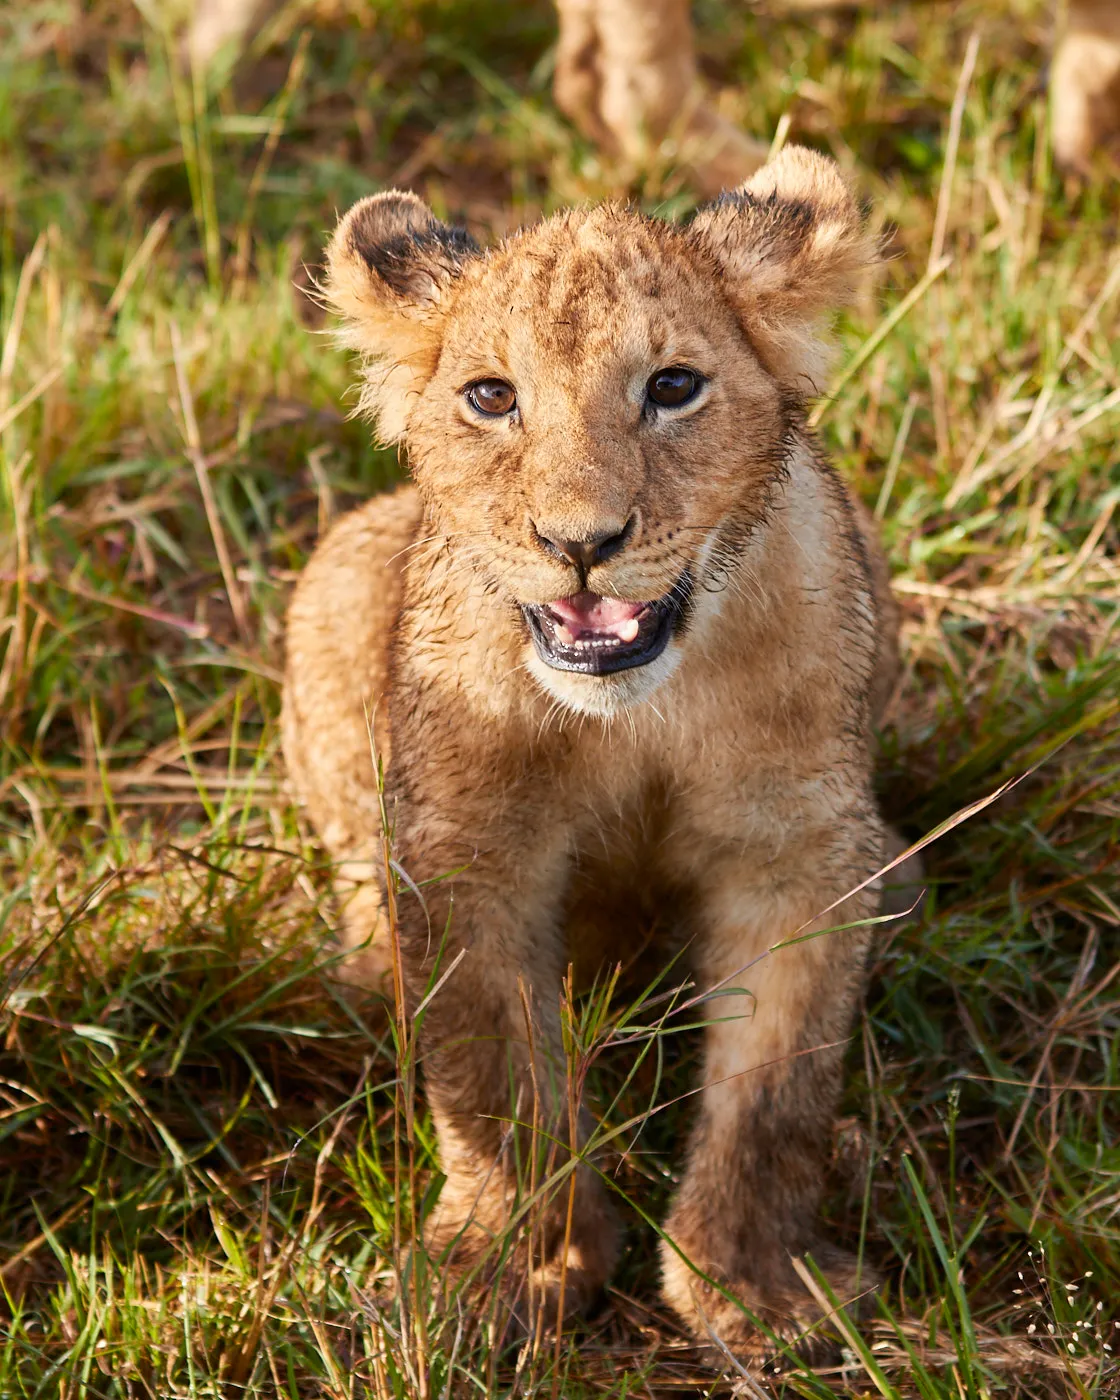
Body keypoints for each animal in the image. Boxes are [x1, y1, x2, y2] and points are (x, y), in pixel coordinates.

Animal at [282, 147, 909, 1361]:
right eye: (492, 396)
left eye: (672, 387)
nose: (580, 542)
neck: (637, 715)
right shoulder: (467, 846)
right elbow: (492, 1080)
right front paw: (510, 1266)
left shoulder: (798, 849)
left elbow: (775, 1093)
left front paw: (751, 1286)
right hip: (339, 578)